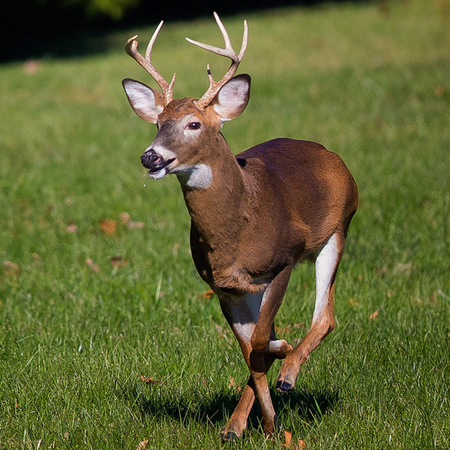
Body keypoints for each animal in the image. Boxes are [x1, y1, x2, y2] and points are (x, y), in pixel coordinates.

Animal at [122, 13, 358, 440]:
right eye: (159, 123)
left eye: (194, 124)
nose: (151, 157)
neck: (236, 233)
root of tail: (330, 155)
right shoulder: (223, 286)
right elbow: (250, 349)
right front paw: (260, 424)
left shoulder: (283, 260)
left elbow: (262, 340)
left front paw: (278, 382)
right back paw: (241, 419)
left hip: (336, 232)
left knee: (325, 316)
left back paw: (288, 376)